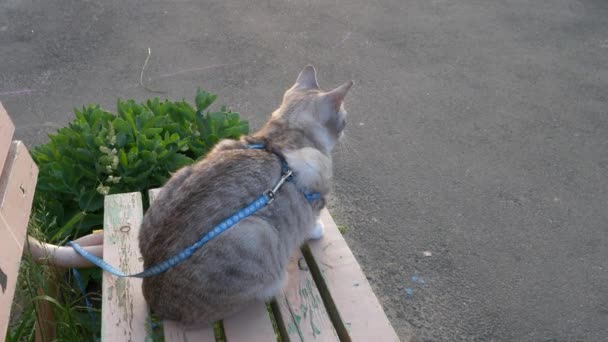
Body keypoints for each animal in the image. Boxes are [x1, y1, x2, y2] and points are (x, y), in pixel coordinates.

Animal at [139, 65, 352, 324]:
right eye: (344, 118)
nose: (346, 128)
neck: (285, 134)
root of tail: (153, 301)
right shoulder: (315, 201)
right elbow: (311, 225)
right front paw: (317, 230)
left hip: (178, 177)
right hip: (259, 235)